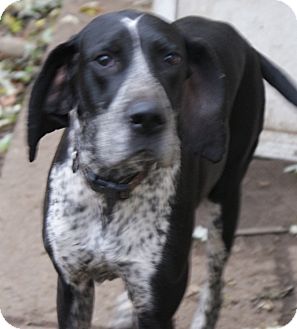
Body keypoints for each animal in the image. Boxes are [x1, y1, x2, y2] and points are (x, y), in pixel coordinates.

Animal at [27, 9, 296, 328]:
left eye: (172, 58)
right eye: (104, 59)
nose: (148, 117)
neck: (112, 190)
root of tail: (245, 44)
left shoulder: (160, 302)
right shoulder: (72, 285)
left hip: (226, 200)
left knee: (215, 282)